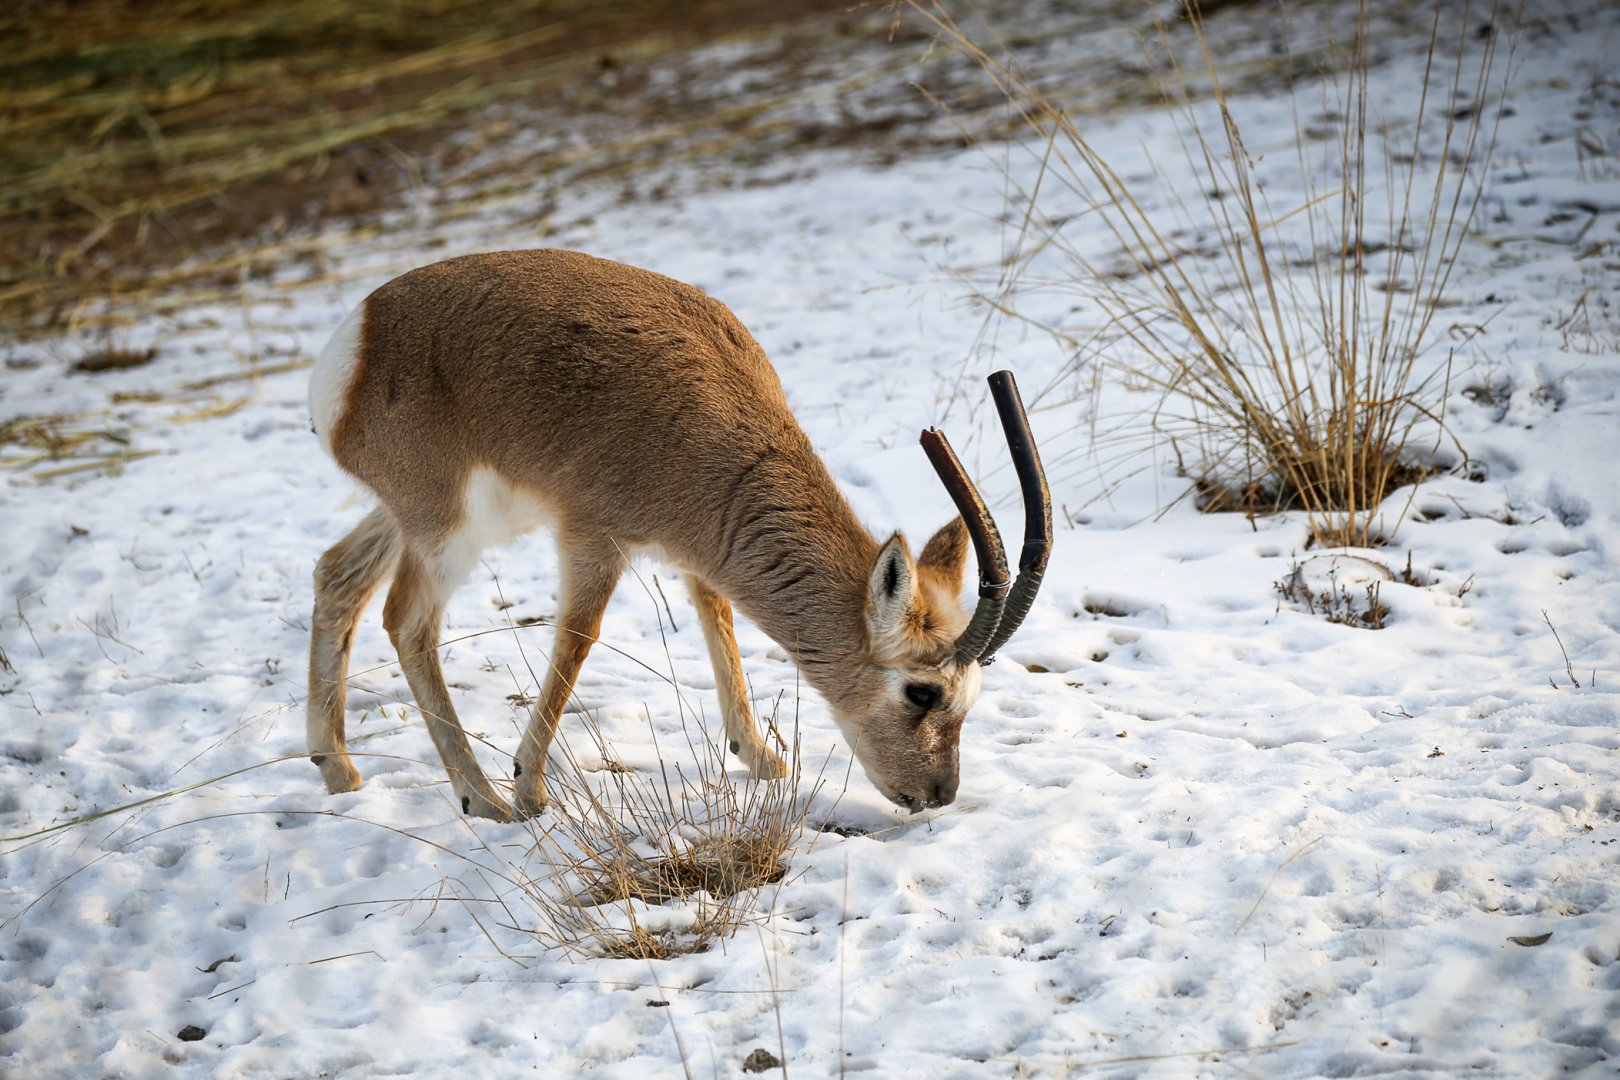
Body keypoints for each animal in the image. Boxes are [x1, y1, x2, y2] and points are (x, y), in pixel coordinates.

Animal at [306, 249, 1049, 821]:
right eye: (923, 692)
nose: (938, 793)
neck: (713, 417)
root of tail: (356, 343)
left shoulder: (698, 541)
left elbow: (716, 610)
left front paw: (761, 757)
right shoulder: (593, 537)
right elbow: (578, 639)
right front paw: (530, 788)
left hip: (420, 519)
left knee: (336, 574)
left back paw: (336, 767)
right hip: (451, 529)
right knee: (406, 620)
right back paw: (483, 798)